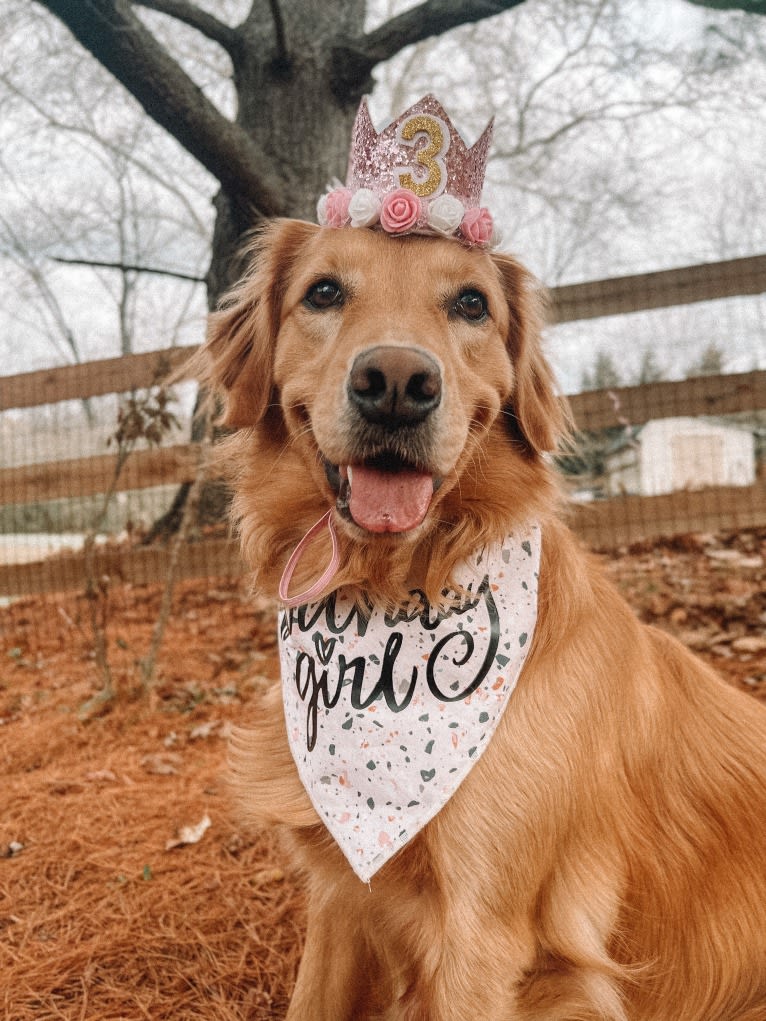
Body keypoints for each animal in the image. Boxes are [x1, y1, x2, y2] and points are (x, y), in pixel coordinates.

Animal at [193, 217, 766, 1021]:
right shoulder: (341, 891)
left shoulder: (483, 933)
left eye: (471, 303)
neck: (395, 592)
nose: (397, 383)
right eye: (324, 291)